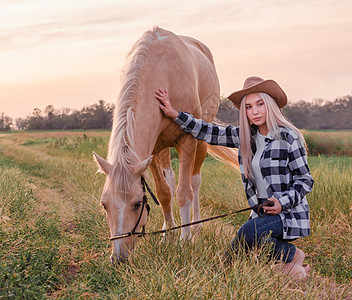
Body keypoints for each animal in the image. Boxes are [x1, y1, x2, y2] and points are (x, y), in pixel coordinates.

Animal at [92, 27, 238, 262]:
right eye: (104, 204)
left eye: (137, 204)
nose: (119, 257)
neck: (162, 76)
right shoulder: (150, 152)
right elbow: (164, 193)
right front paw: (168, 235)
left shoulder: (187, 142)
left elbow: (184, 193)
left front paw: (185, 239)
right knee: (169, 181)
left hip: (200, 143)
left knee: (195, 181)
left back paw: (195, 228)